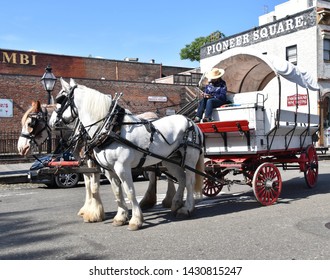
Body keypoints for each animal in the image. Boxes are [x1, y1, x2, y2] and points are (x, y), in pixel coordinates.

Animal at [52, 78, 205, 230]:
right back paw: (176, 204)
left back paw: (187, 208)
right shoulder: (108, 170)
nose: (52, 121)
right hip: (171, 160)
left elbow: (129, 192)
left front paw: (135, 220)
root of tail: (192, 122)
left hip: (189, 159)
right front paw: (120, 217)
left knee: (190, 181)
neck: (110, 128)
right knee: (182, 179)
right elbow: (117, 192)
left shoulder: (122, 167)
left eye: (60, 99)